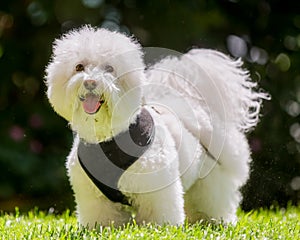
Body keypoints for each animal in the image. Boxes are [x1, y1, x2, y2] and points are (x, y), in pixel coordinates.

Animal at [45, 25, 268, 227]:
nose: (90, 82)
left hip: (210, 181)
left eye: (109, 69)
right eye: (79, 67)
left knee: (215, 203)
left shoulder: (157, 189)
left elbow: (160, 215)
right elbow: (103, 218)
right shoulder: (95, 199)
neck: (108, 138)